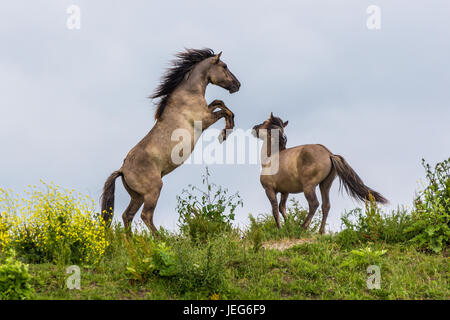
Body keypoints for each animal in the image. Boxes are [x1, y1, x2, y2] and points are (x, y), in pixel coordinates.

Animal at [100, 47, 241, 234]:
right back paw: (161, 239)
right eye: (224, 66)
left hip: (137, 196)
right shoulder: (205, 120)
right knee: (145, 216)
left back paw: (133, 241)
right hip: (153, 190)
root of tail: (122, 169)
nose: (237, 85)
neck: (187, 94)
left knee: (127, 216)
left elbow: (219, 102)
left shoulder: (207, 111)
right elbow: (224, 111)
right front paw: (225, 132)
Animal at [253, 114, 386, 234]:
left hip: (309, 187)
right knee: (325, 206)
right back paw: (321, 231)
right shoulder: (285, 191)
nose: (254, 128)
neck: (270, 158)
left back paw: (303, 227)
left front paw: (281, 229)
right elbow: (282, 208)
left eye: (264, 122)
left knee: (314, 204)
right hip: (325, 185)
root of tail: (329, 154)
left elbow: (275, 210)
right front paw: (289, 227)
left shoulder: (269, 189)